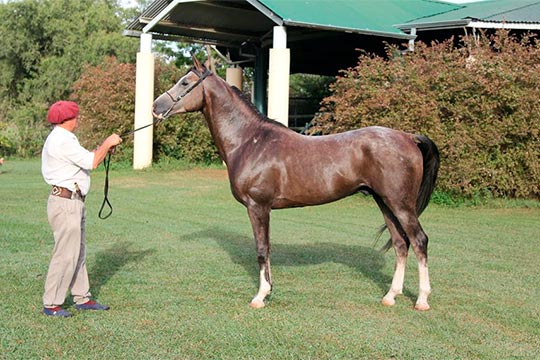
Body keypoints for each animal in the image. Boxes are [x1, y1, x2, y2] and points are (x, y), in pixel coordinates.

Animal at [151, 56, 438, 310]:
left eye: (185, 83)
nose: (156, 107)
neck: (249, 141)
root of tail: (408, 137)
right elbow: (267, 249)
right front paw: (267, 291)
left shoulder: (257, 206)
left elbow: (261, 249)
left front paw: (260, 296)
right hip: (385, 202)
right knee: (401, 244)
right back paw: (390, 296)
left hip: (401, 204)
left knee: (419, 241)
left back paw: (422, 300)